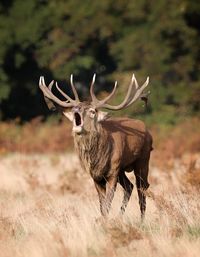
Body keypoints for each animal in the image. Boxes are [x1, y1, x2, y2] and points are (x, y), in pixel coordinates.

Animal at [38, 72, 152, 218]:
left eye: (92, 111)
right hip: (122, 169)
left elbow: (108, 204)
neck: (98, 158)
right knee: (129, 186)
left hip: (143, 160)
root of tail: (147, 130)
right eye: (75, 108)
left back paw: (141, 220)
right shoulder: (96, 176)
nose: (76, 109)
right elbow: (102, 206)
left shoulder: (113, 172)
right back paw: (120, 217)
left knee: (142, 189)